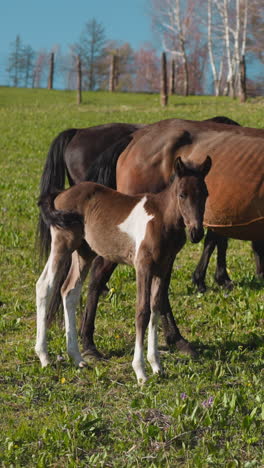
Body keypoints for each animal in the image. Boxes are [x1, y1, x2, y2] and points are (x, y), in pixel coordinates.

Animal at [36, 155, 211, 382]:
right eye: (182, 194)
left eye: (205, 194)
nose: (197, 233)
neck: (161, 218)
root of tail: (61, 193)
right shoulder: (143, 266)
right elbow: (142, 312)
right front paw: (140, 371)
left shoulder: (163, 267)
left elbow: (155, 309)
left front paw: (157, 366)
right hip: (62, 244)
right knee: (45, 285)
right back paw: (44, 357)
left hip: (84, 252)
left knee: (69, 291)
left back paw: (77, 358)